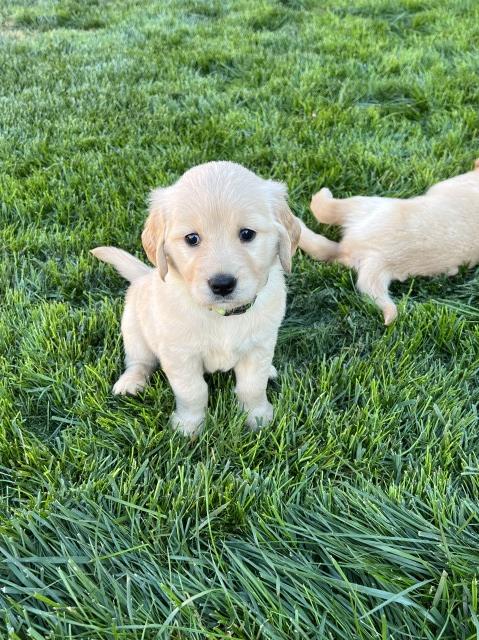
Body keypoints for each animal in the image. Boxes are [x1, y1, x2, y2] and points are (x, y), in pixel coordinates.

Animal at [91, 162, 298, 438]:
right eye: (192, 238)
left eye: (247, 234)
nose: (222, 284)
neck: (221, 314)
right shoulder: (180, 355)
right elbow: (193, 391)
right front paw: (189, 427)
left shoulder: (260, 344)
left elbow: (252, 385)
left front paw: (258, 418)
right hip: (133, 330)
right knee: (139, 361)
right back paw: (131, 382)